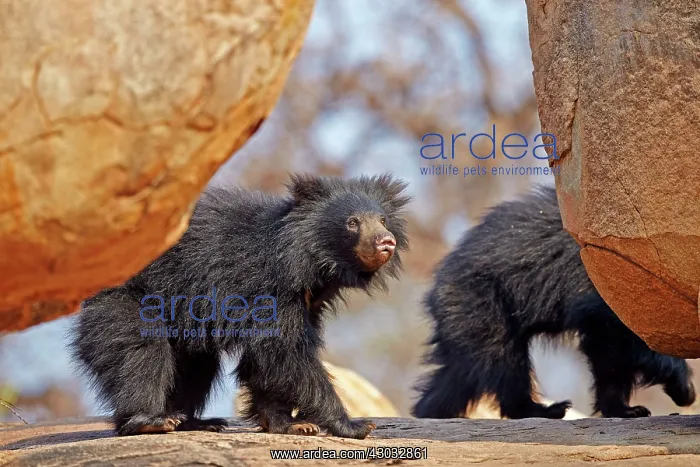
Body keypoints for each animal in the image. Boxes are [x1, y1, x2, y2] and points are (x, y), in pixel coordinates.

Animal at [70, 173, 410, 439]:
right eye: (352, 223)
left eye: (382, 220)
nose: (386, 242)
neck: (309, 261)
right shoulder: (269, 288)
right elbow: (286, 352)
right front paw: (354, 425)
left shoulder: (308, 301)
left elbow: (266, 360)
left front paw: (290, 425)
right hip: (130, 299)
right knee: (139, 352)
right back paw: (150, 421)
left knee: (196, 366)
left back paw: (194, 422)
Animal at [412, 185, 695, 420]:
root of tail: (437, 284)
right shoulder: (602, 292)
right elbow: (610, 342)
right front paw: (679, 391)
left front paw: (628, 409)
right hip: (482, 303)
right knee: (503, 360)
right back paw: (545, 409)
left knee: (458, 374)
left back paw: (429, 413)